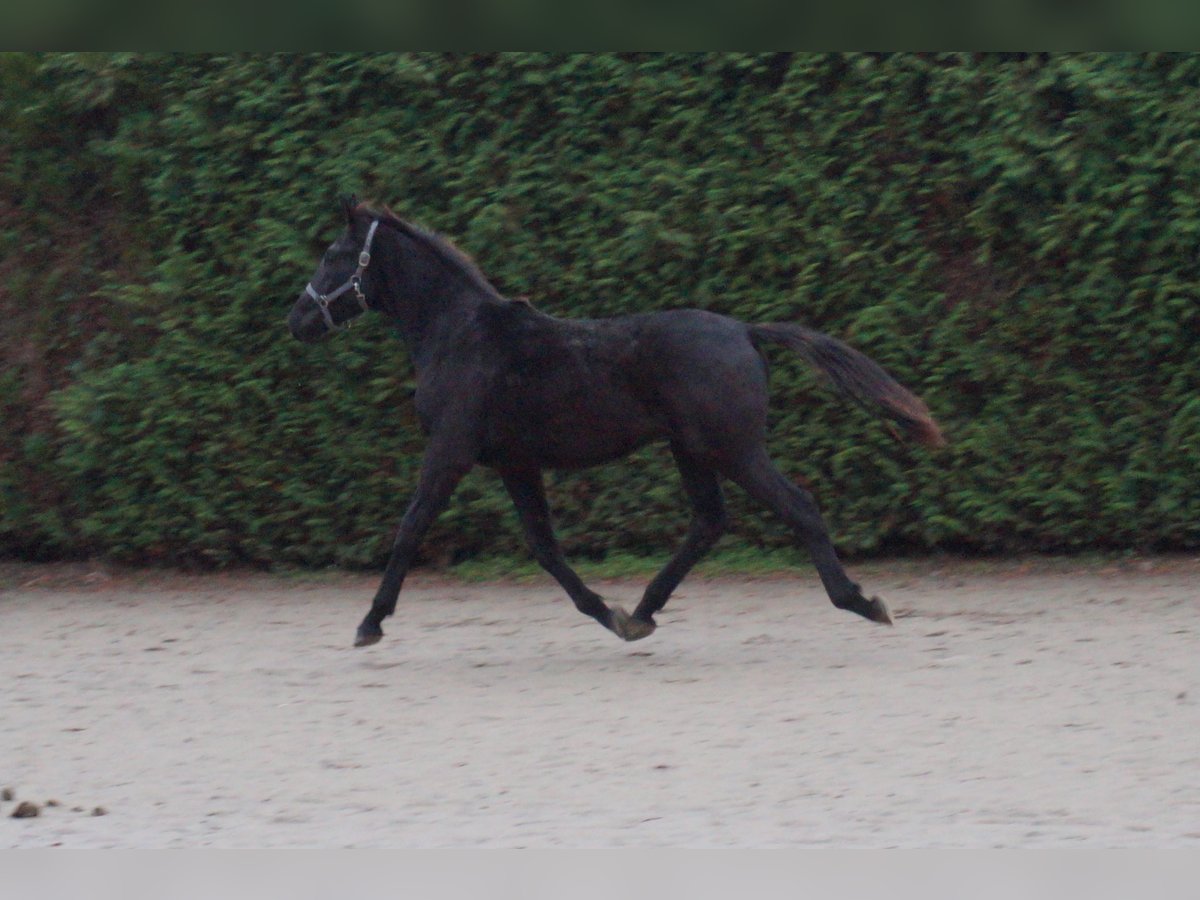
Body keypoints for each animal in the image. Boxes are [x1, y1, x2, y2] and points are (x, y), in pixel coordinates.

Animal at [292, 196, 945, 648]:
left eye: (333, 256)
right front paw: (608, 615)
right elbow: (544, 547)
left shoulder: (450, 451)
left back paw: (862, 602)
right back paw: (642, 612)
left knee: (798, 508)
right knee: (709, 522)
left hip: (734, 449)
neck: (461, 335)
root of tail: (744, 331)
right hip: (692, 450)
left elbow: (410, 528)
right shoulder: (515, 462)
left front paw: (370, 623)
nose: (296, 319)